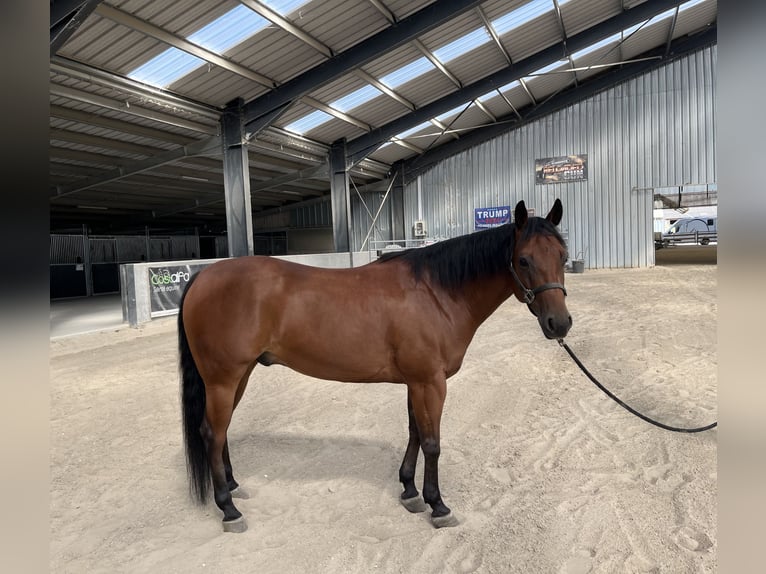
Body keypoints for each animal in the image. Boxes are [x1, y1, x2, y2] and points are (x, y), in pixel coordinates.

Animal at [178, 199, 571, 533]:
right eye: (524, 260)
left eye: (563, 256)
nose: (560, 324)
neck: (435, 293)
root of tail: (202, 277)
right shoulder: (431, 383)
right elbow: (432, 442)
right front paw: (438, 505)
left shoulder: (416, 382)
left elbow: (415, 433)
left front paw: (410, 491)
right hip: (223, 379)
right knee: (212, 433)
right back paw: (229, 509)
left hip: (238, 376)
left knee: (221, 431)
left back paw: (233, 486)